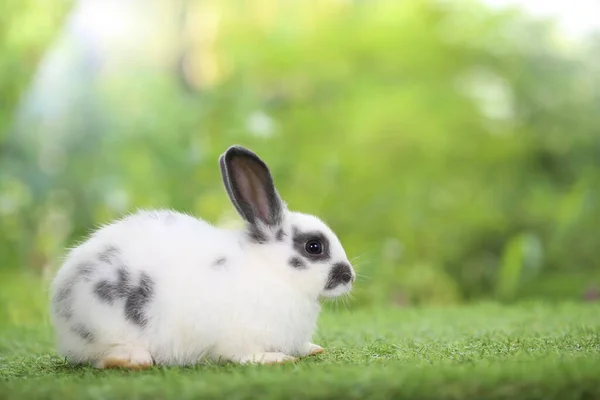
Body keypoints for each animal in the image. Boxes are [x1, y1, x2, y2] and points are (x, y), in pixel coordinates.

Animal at [50, 145, 356, 368]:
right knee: (100, 357)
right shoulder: (239, 337)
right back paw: (134, 359)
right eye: (314, 247)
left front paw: (312, 349)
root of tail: (61, 305)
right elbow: (245, 355)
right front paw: (275, 358)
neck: (273, 272)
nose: (349, 276)